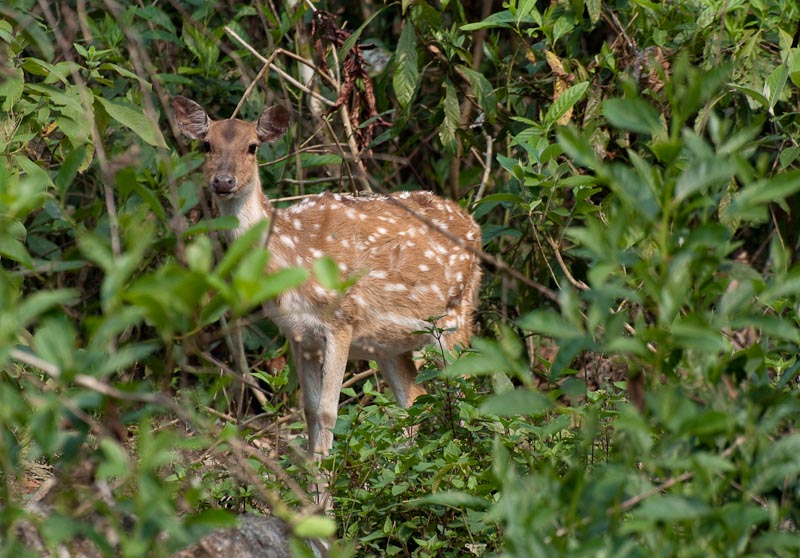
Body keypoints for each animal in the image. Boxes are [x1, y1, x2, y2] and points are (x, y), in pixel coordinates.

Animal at [173, 96, 482, 462]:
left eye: (252, 146)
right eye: (206, 144)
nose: (223, 181)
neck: (291, 256)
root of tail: (474, 223)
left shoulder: (341, 320)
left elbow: (327, 411)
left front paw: (326, 474)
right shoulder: (298, 334)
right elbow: (308, 410)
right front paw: (313, 472)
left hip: (456, 314)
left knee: (469, 391)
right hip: (389, 343)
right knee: (414, 398)